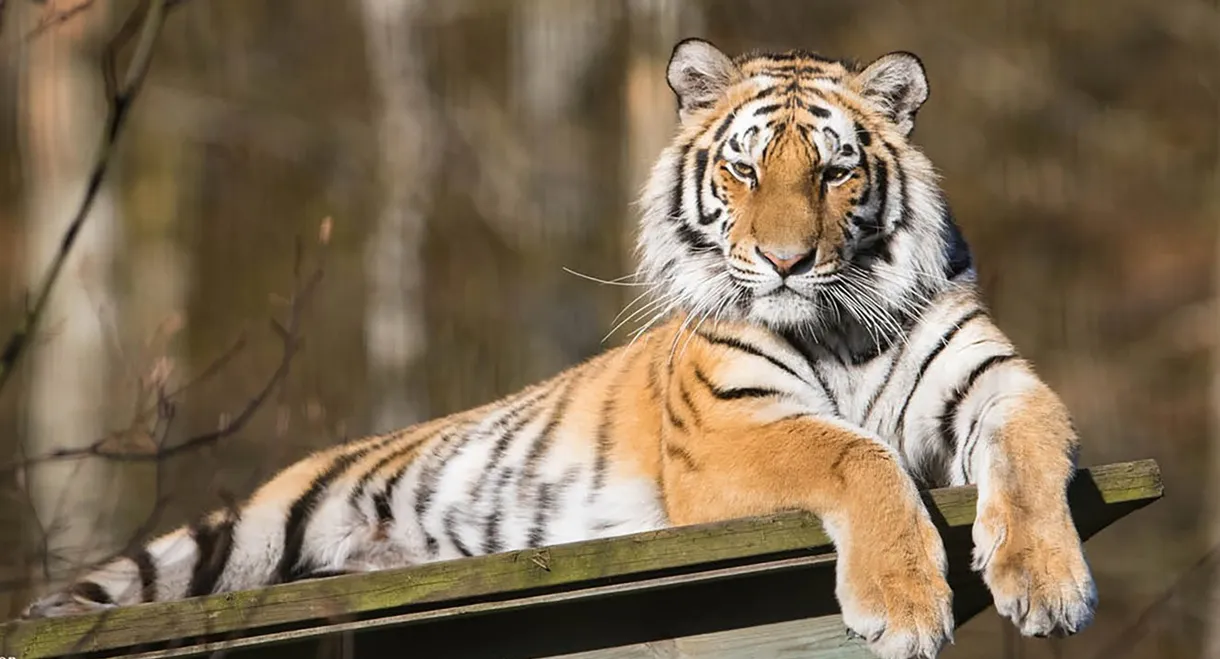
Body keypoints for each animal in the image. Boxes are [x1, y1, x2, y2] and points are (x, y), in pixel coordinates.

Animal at [20, 39, 1096, 659]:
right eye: (746, 169)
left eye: (833, 173)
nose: (786, 261)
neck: (834, 320)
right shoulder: (730, 431)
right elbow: (855, 453)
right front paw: (905, 605)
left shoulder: (997, 381)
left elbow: (1031, 448)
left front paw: (1047, 582)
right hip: (245, 530)